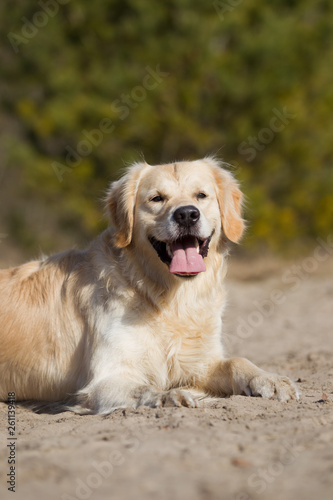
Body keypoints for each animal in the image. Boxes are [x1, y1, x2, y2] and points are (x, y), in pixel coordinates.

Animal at [0, 158, 298, 412]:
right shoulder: (105, 379)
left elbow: (237, 361)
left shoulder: (200, 360)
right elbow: (144, 388)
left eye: (201, 195)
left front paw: (272, 380)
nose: (187, 215)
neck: (170, 298)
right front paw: (171, 395)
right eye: (157, 198)